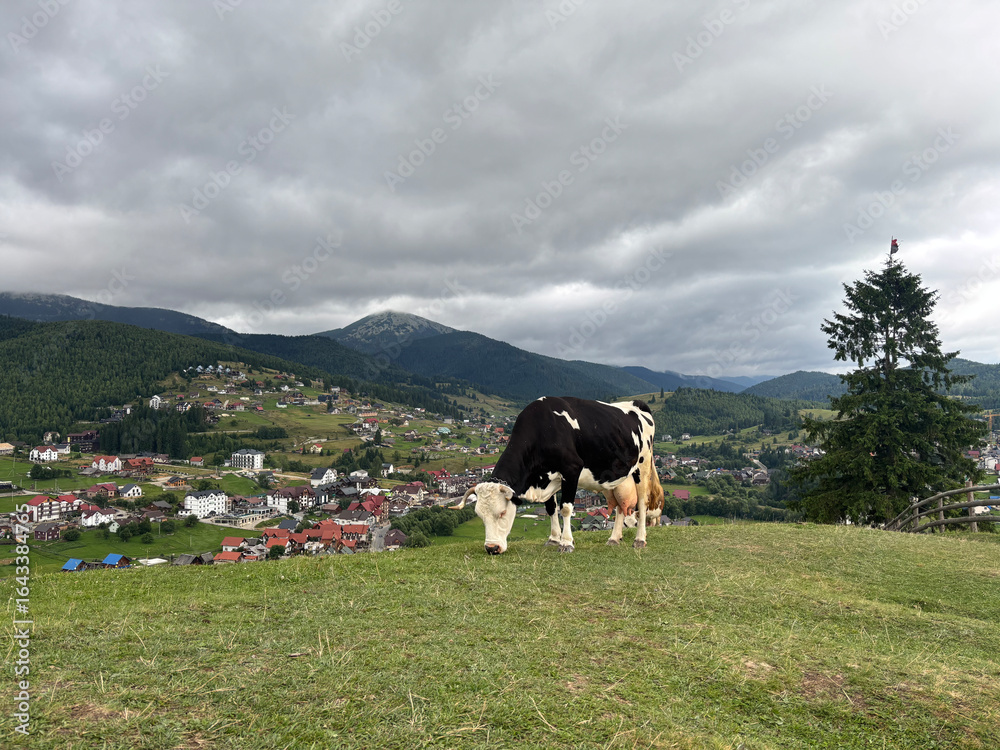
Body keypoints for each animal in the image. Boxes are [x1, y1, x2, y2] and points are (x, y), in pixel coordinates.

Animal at [450, 396, 657, 554]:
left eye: (502, 512)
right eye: (479, 515)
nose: (492, 548)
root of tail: (638, 404)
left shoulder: (571, 470)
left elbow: (565, 508)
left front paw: (566, 543)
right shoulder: (547, 479)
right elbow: (551, 508)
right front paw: (554, 539)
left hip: (643, 465)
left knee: (641, 503)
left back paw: (639, 540)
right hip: (615, 477)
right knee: (620, 505)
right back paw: (614, 538)